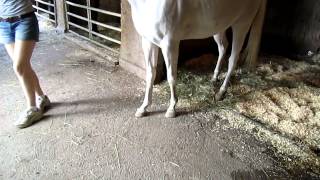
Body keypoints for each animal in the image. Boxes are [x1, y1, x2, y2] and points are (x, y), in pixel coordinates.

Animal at [128, 0, 268, 118]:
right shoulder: (147, 41)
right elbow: (150, 74)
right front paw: (143, 108)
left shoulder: (169, 44)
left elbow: (171, 77)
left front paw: (172, 109)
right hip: (219, 26)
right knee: (223, 47)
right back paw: (214, 77)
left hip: (241, 25)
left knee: (233, 59)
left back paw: (221, 92)